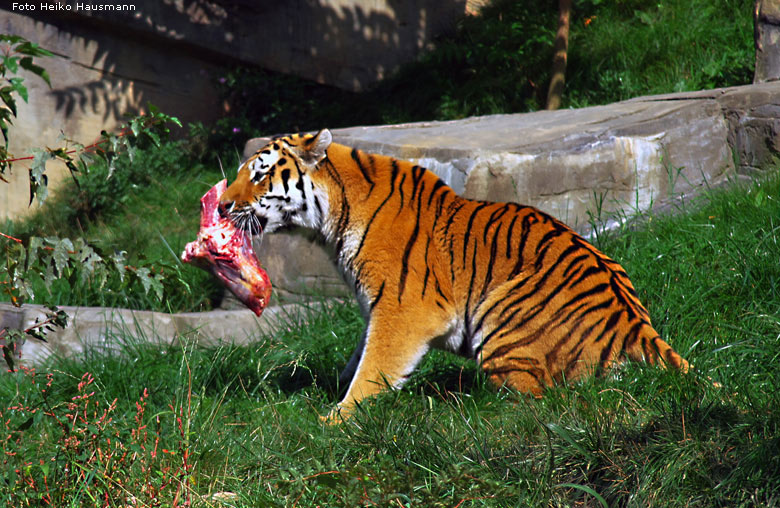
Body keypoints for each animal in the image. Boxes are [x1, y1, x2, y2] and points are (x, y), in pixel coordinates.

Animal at [219, 130, 688, 420]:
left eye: (260, 174)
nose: (221, 205)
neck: (329, 220)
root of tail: (635, 325)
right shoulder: (377, 307)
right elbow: (358, 356)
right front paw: (327, 390)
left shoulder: (403, 308)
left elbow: (374, 365)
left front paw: (335, 419)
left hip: (500, 322)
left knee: (538, 397)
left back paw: (461, 403)